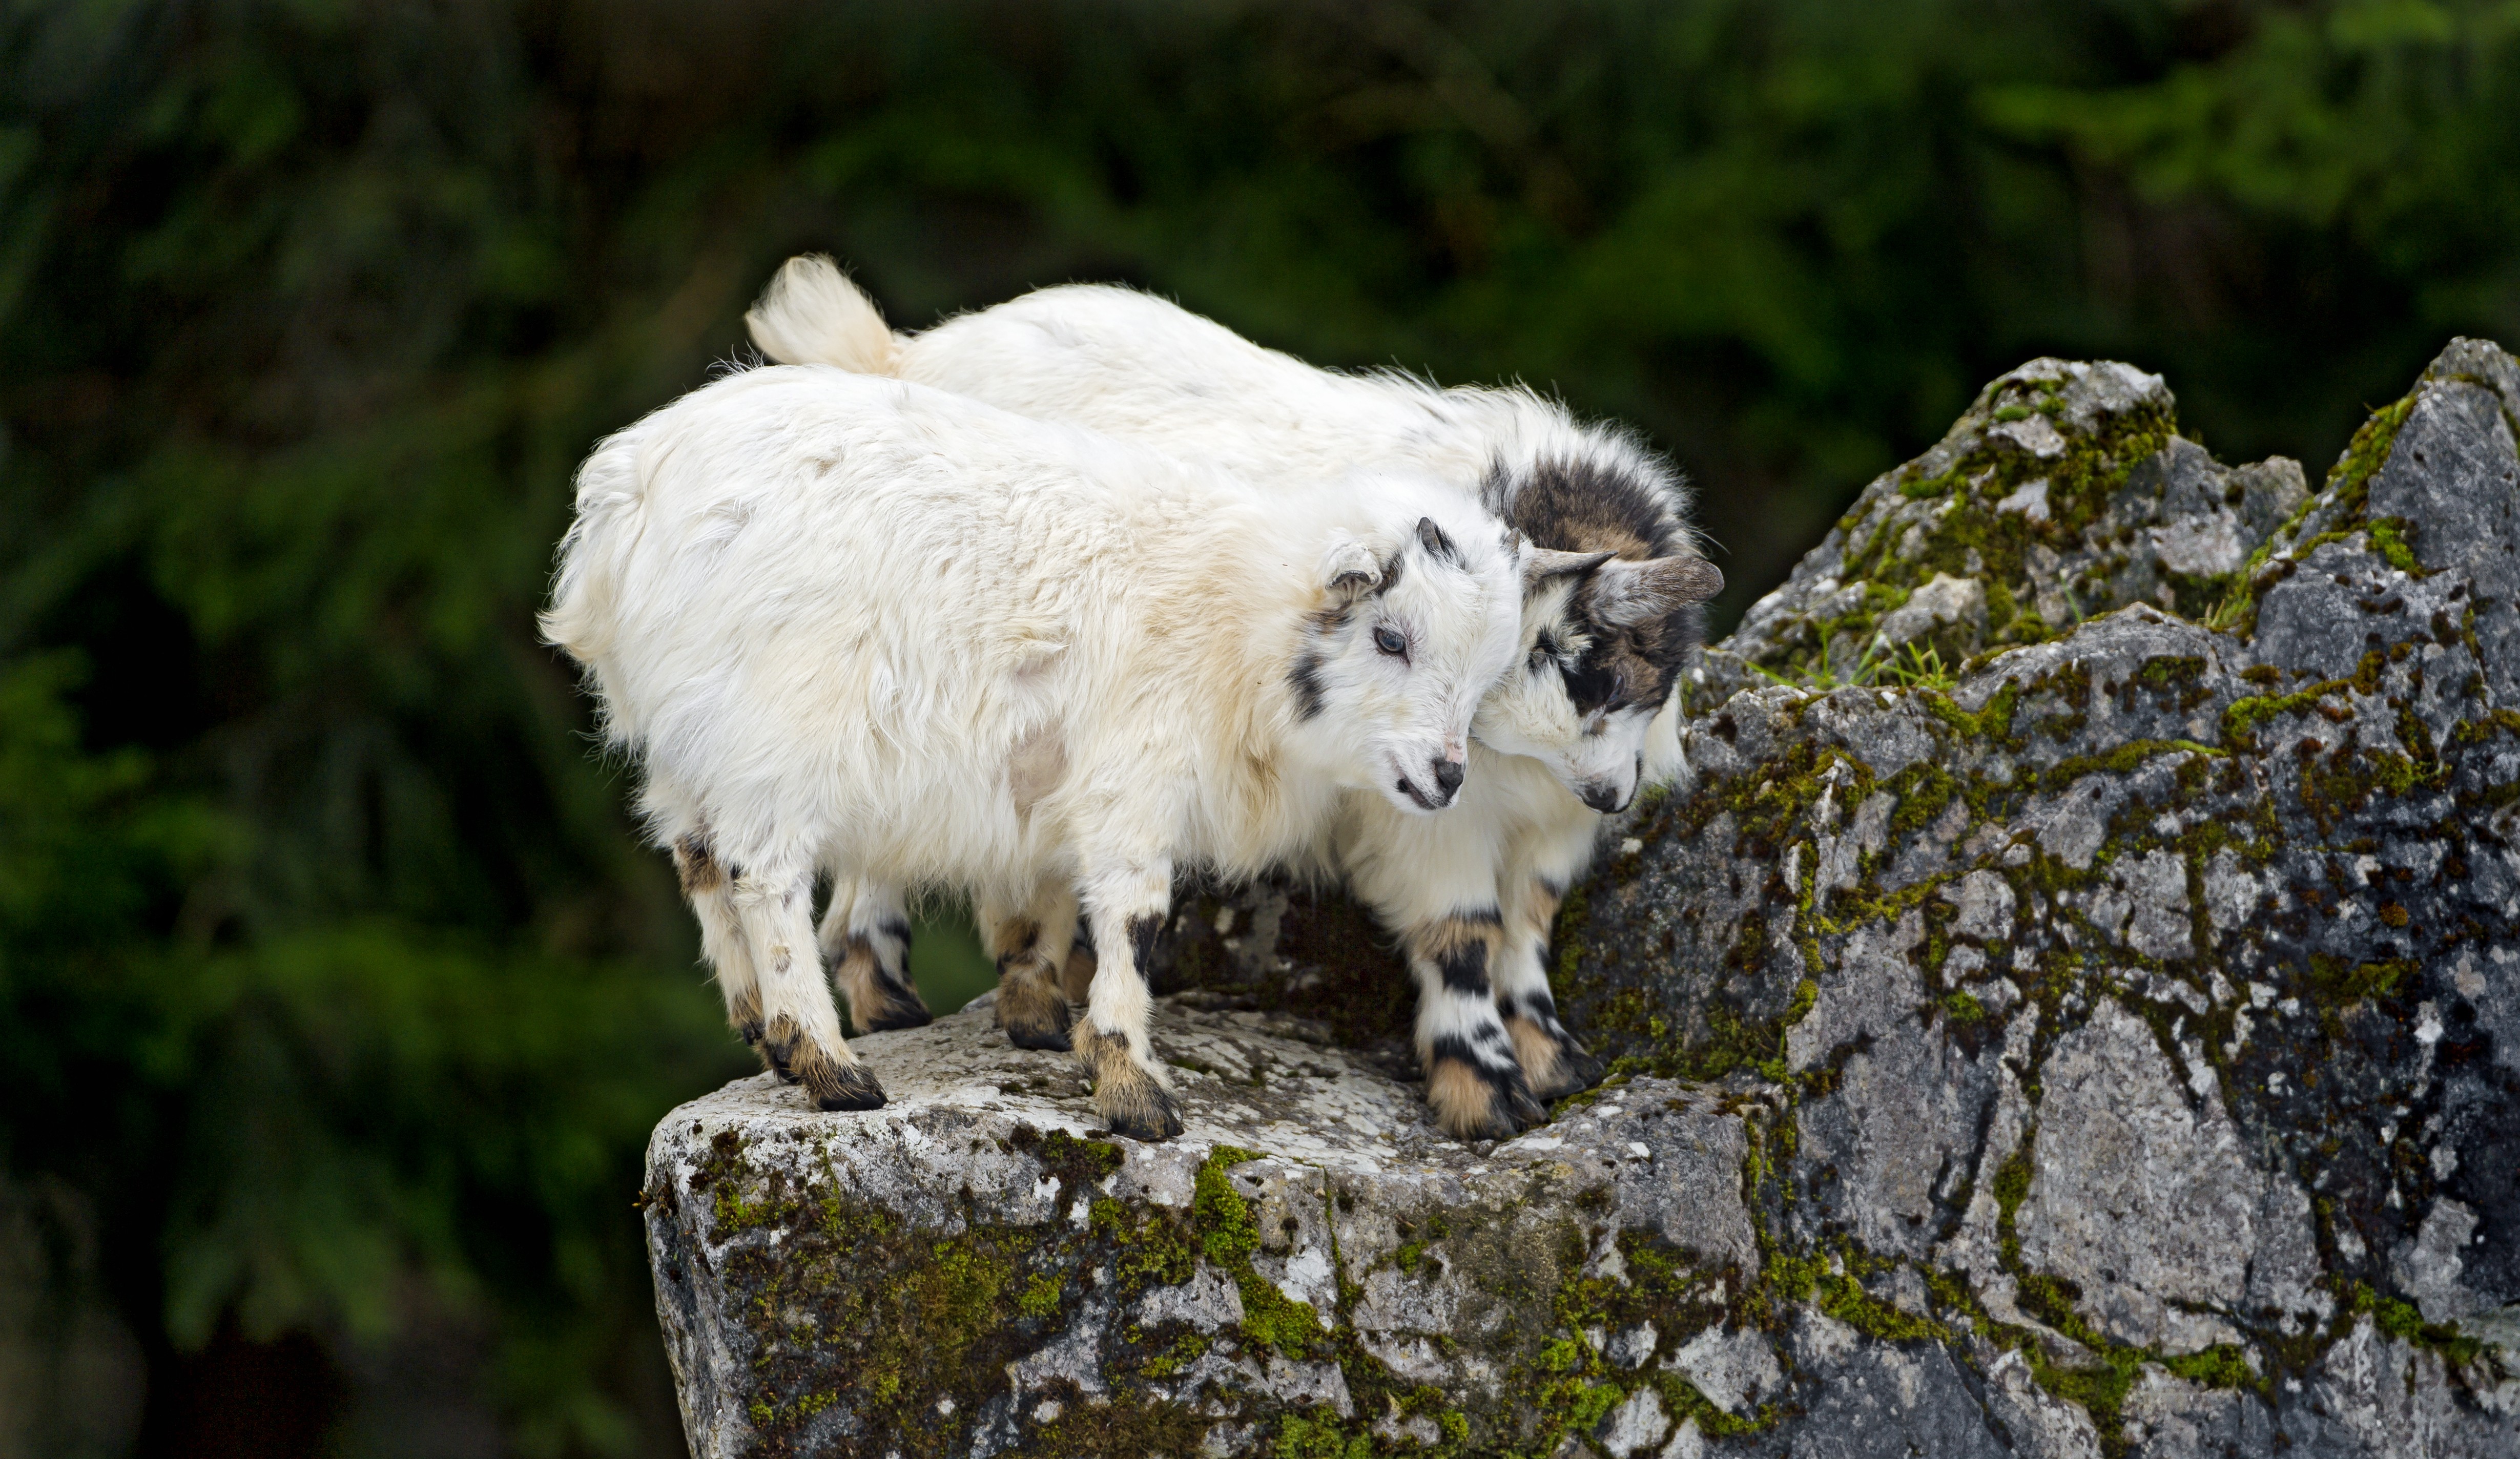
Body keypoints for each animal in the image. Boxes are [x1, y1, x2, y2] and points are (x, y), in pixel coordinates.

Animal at [544, 365, 1522, 1144]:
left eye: (1486, 671)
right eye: (1390, 638)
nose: (1447, 777)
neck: (1234, 612)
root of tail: (629, 494)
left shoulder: (1051, 774)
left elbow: (1044, 893)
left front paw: (1039, 1012)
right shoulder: (1135, 775)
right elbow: (1134, 918)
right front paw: (1133, 1089)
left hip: (686, 743)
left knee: (701, 866)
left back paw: (769, 1038)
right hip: (777, 733)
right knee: (764, 876)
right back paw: (831, 1068)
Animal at [746, 265, 1723, 1154]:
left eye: (1605, 674)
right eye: (1556, 662)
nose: (1612, 796)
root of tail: (899, 354)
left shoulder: (1548, 819)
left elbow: (1528, 921)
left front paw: (1553, 1062)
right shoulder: (1434, 818)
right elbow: (1464, 935)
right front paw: (1487, 1096)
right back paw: (894, 1003)